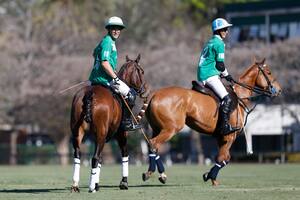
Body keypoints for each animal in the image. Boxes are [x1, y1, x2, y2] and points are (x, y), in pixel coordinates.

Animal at [69, 54, 149, 192]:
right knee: (94, 157)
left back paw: (75, 185)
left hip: (78, 132)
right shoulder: (121, 134)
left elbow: (101, 159)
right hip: (101, 133)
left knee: (78, 155)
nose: (142, 90)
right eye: (142, 71)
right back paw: (91, 188)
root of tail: (89, 93)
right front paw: (124, 183)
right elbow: (124, 154)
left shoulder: (103, 137)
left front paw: (97, 183)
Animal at [141, 57, 282, 186]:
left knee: (152, 145)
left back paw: (157, 174)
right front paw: (210, 177)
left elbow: (225, 158)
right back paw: (155, 173)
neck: (240, 97)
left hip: (156, 128)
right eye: (268, 72)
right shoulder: (230, 136)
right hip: (171, 128)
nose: (279, 90)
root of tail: (154, 95)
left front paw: (210, 176)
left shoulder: (221, 137)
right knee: (154, 143)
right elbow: (222, 157)